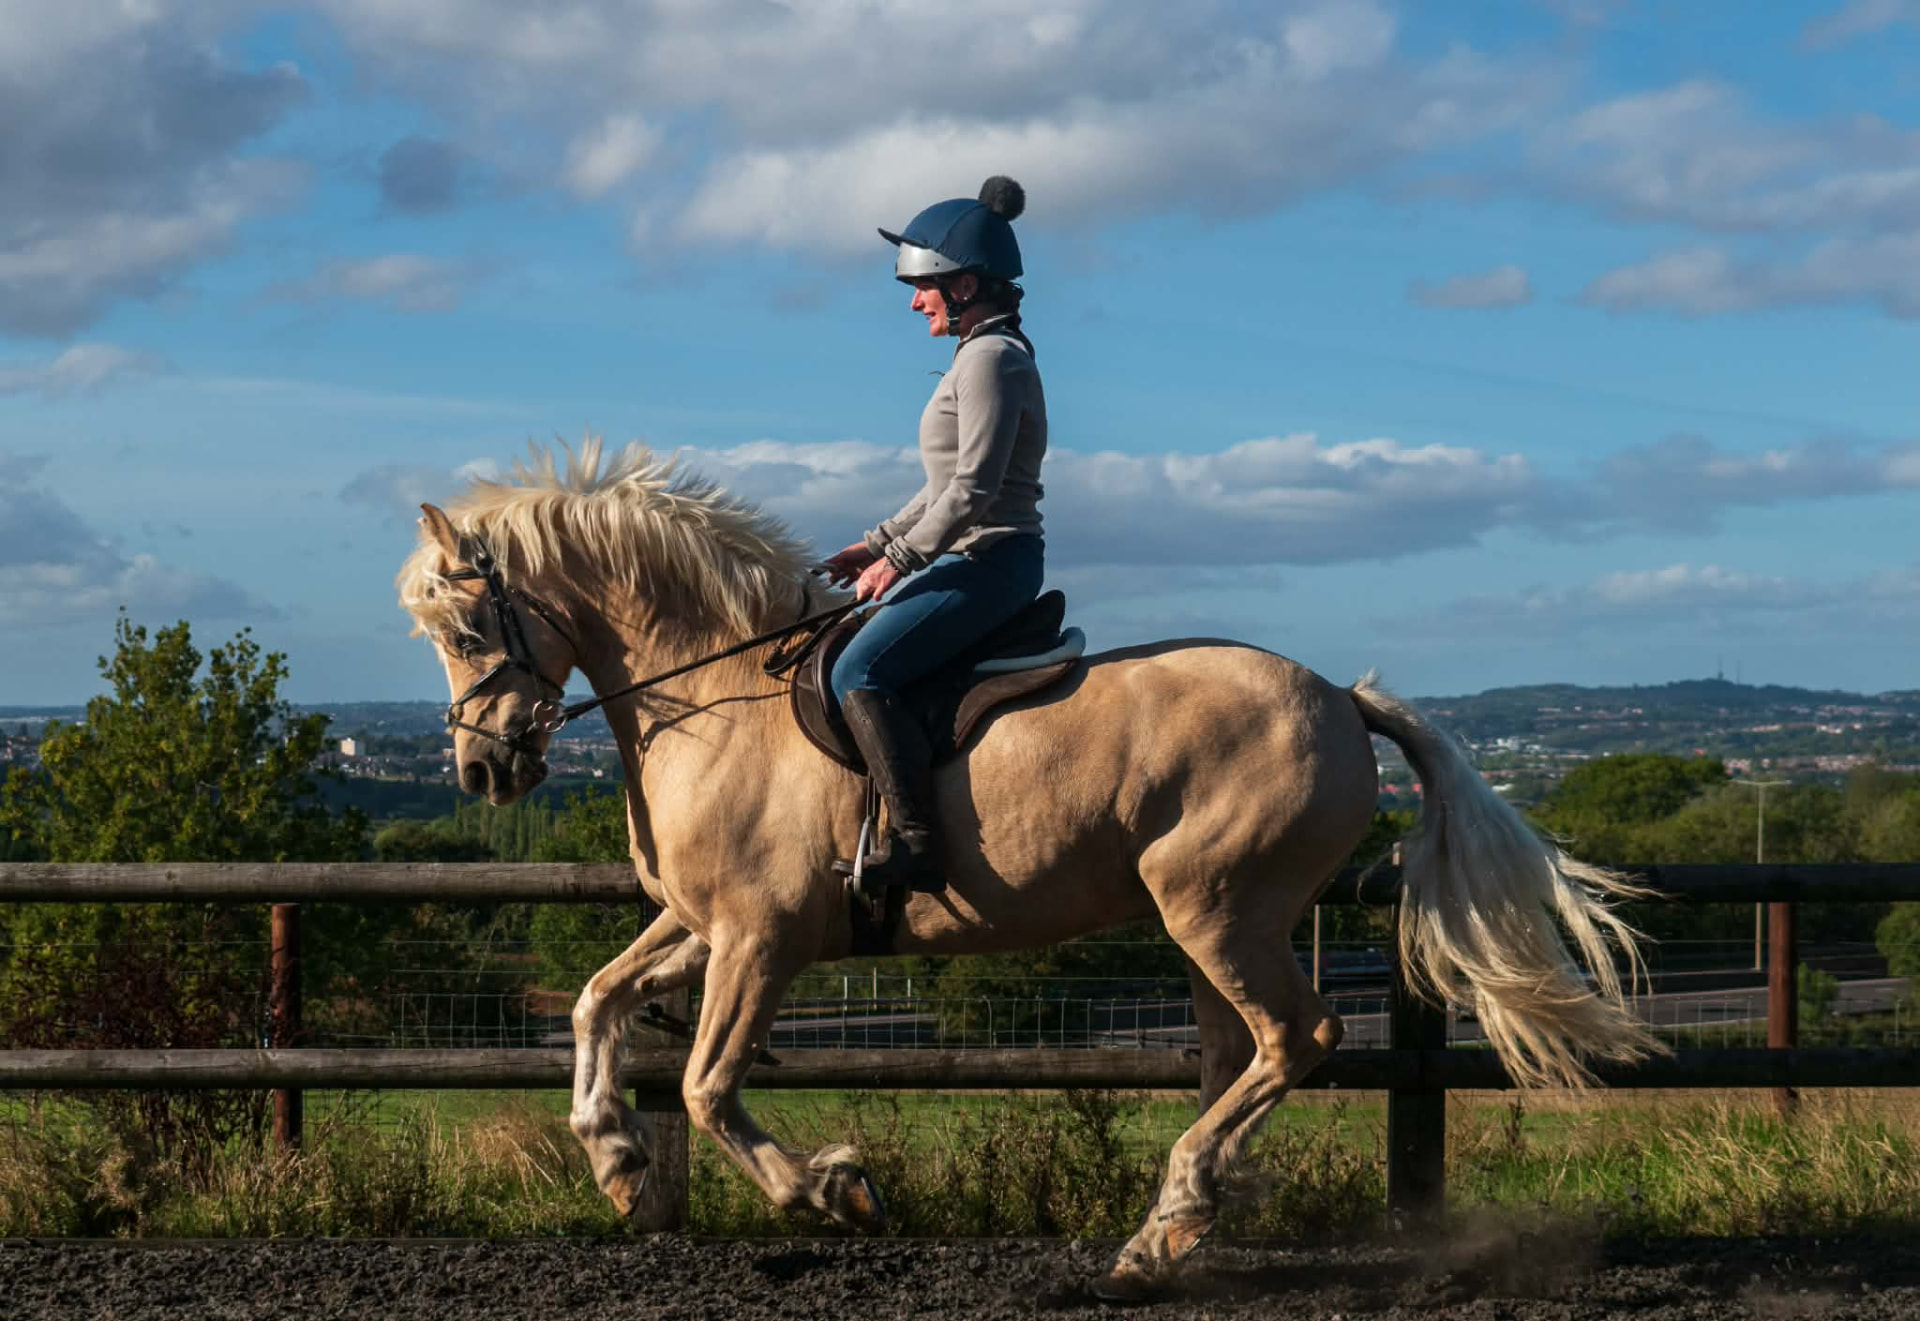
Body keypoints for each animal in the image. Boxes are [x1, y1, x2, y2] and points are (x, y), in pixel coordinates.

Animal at [396, 439, 1656, 1297]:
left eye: (465, 630)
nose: (481, 770)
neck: (713, 694)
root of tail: (1344, 698)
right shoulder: (702, 923)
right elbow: (595, 1002)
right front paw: (615, 1161)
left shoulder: (762, 938)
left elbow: (706, 1086)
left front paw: (834, 1189)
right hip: (1212, 925)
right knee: (1239, 1054)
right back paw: (1178, 1222)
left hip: (1221, 910)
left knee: (1297, 1038)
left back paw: (1170, 1218)